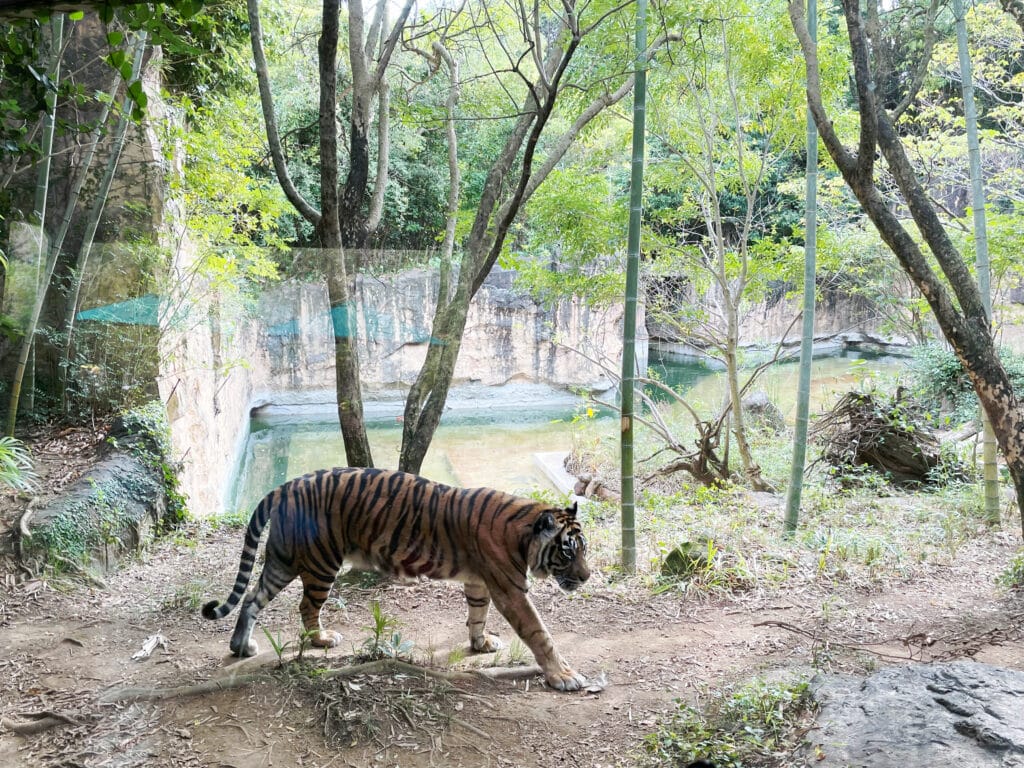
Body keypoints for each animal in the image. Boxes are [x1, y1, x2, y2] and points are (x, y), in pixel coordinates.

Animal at [201, 466, 593, 696]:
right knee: (305, 606)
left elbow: (477, 615)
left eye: (584, 550)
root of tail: (284, 486)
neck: (524, 534)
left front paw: (480, 643)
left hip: (282, 559)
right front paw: (564, 676)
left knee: (251, 598)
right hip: (321, 562)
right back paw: (321, 640)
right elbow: (540, 634)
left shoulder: (480, 583)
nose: (587, 577)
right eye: (569, 552)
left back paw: (241, 646)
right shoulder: (510, 590)